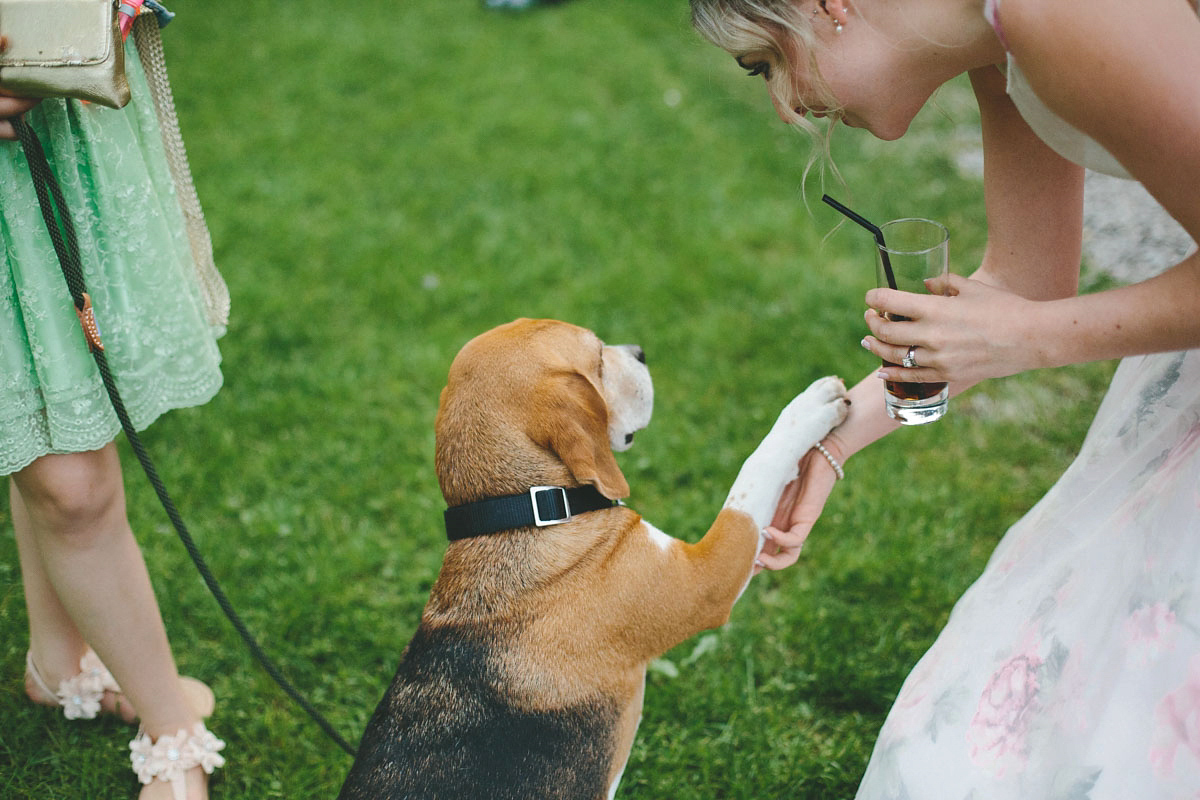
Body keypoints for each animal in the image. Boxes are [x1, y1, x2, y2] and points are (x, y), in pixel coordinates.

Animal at [333, 319, 849, 800]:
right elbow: (754, 472)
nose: (640, 351)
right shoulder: (709, 576)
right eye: (599, 358)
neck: (521, 512)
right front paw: (809, 409)